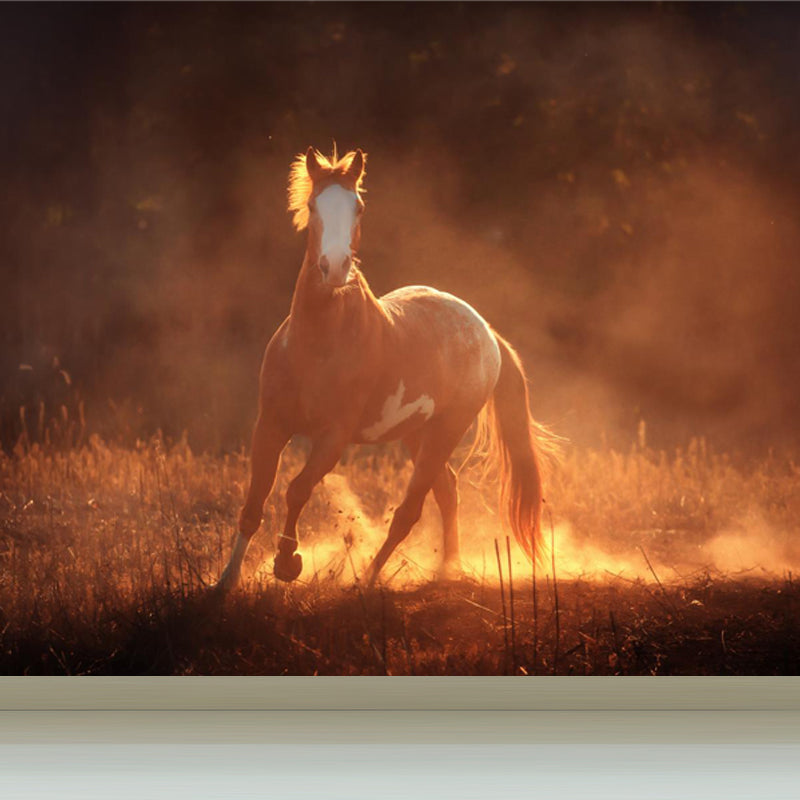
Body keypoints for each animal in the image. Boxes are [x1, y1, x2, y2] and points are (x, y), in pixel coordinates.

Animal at [215, 146, 553, 591]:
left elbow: (296, 489)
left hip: (448, 429)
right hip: (416, 433)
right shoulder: (270, 425)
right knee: (447, 491)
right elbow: (255, 501)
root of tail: (487, 333)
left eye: (358, 207)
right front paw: (224, 582)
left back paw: (366, 579)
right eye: (312, 205)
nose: (334, 267)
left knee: (410, 510)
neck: (316, 344)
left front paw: (288, 563)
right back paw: (447, 570)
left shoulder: (334, 436)